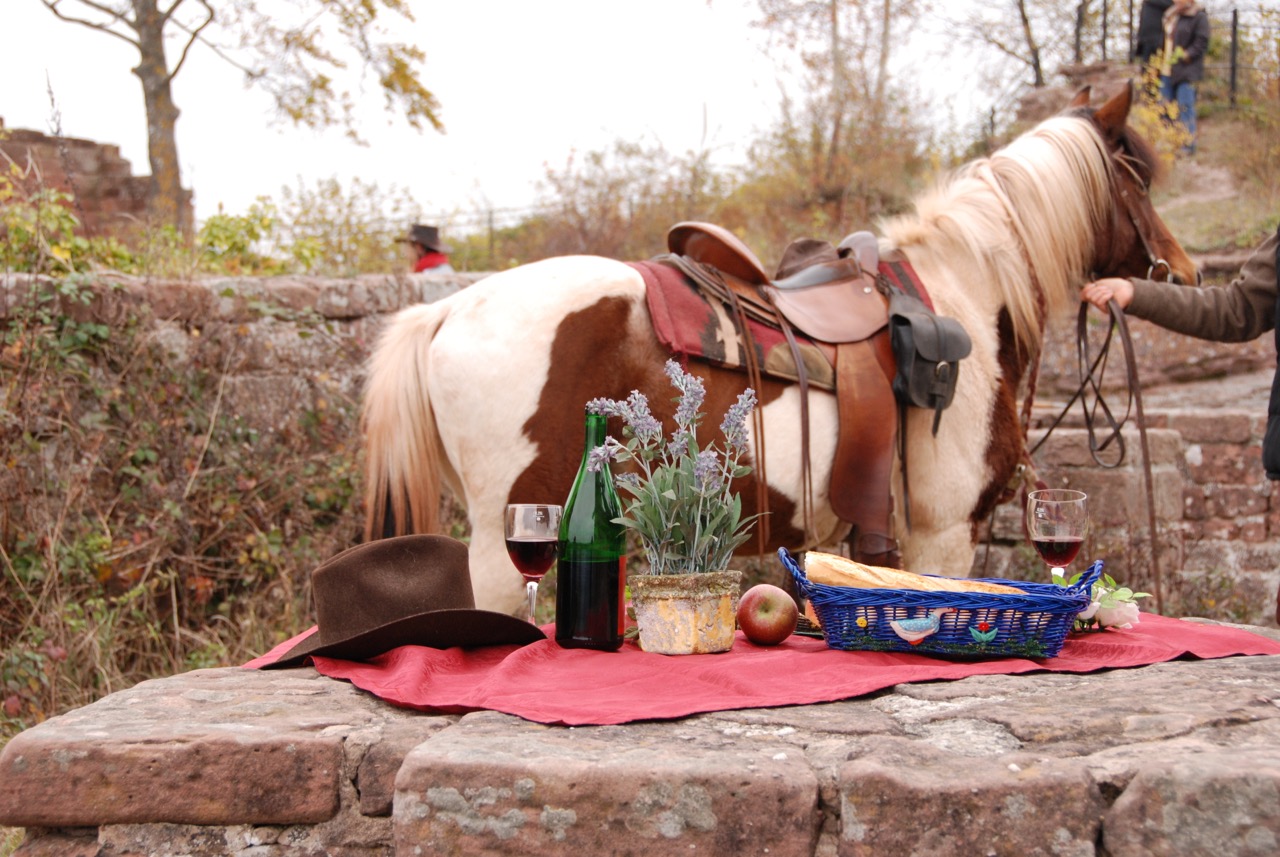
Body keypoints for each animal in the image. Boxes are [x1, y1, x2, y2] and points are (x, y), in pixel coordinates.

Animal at [361, 85, 1197, 615]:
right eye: (1140, 177)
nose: (1181, 271)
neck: (963, 294)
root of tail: (447, 309)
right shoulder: (944, 530)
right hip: (507, 537)